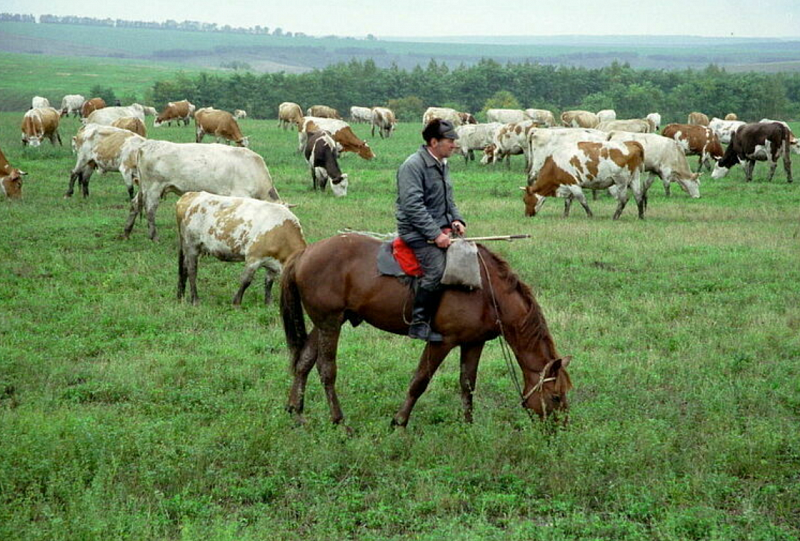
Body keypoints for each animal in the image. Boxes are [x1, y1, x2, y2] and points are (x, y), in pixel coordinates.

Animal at [120, 141, 280, 240]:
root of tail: (147, 145)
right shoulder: (239, 194)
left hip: (144, 187)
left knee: (135, 204)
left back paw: (127, 232)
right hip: (154, 187)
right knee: (150, 210)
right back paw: (154, 236)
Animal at [278, 232, 572, 426]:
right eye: (556, 397)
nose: (559, 430)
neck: (486, 292)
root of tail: (304, 253)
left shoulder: (473, 342)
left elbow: (467, 384)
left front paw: (468, 426)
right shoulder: (442, 341)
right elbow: (420, 380)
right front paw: (399, 421)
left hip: (326, 322)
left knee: (304, 361)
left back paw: (296, 411)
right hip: (329, 322)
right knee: (326, 370)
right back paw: (339, 421)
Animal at [520, 141, 648, 221]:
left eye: (525, 200)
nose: (527, 215)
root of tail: (629, 143)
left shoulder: (573, 184)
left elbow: (582, 201)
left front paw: (590, 215)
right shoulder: (568, 185)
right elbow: (567, 202)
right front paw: (565, 216)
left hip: (621, 180)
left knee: (623, 199)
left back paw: (615, 217)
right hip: (635, 178)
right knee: (638, 196)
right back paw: (640, 217)